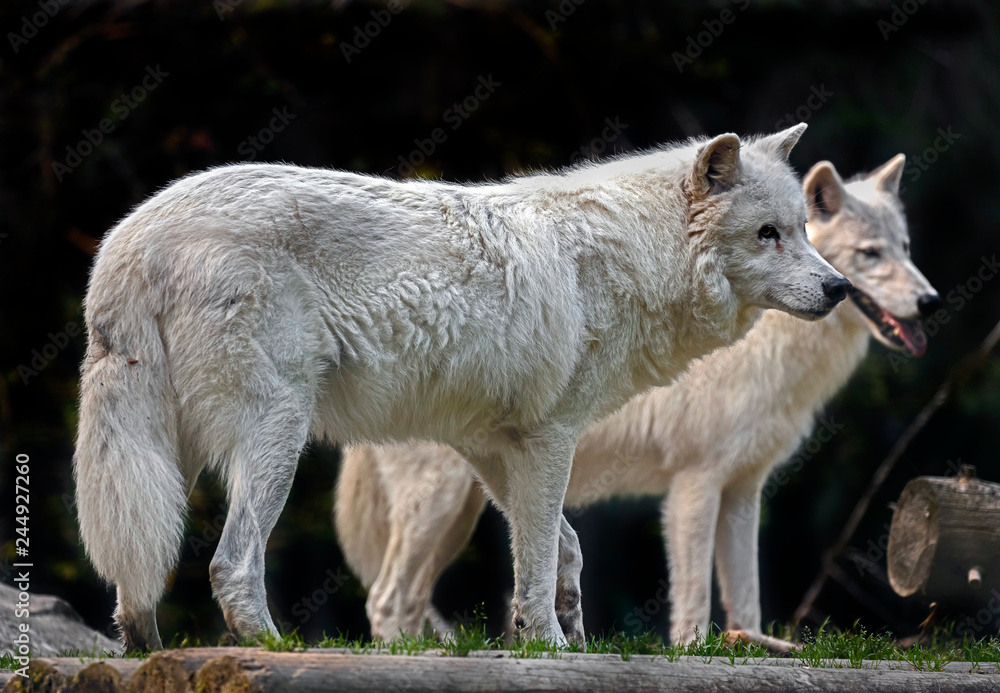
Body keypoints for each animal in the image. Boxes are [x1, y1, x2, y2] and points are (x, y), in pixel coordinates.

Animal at [73, 124, 848, 651]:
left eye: (805, 229)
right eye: (768, 234)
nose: (840, 288)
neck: (629, 258)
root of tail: (129, 239)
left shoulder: (492, 445)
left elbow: (561, 550)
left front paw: (564, 632)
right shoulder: (551, 437)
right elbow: (537, 559)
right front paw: (551, 646)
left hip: (168, 454)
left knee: (140, 575)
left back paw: (145, 649)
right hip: (279, 436)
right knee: (232, 563)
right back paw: (272, 646)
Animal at [335, 154, 939, 645]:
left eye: (907, 249)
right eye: (870, 254)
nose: (930, 301)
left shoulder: (745, 490)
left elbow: (746, 602)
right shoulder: (694, 485)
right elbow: (694, 602)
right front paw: (694, 653)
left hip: (459, 513)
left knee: (407, 600)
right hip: (439, 507)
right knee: (386, 599)